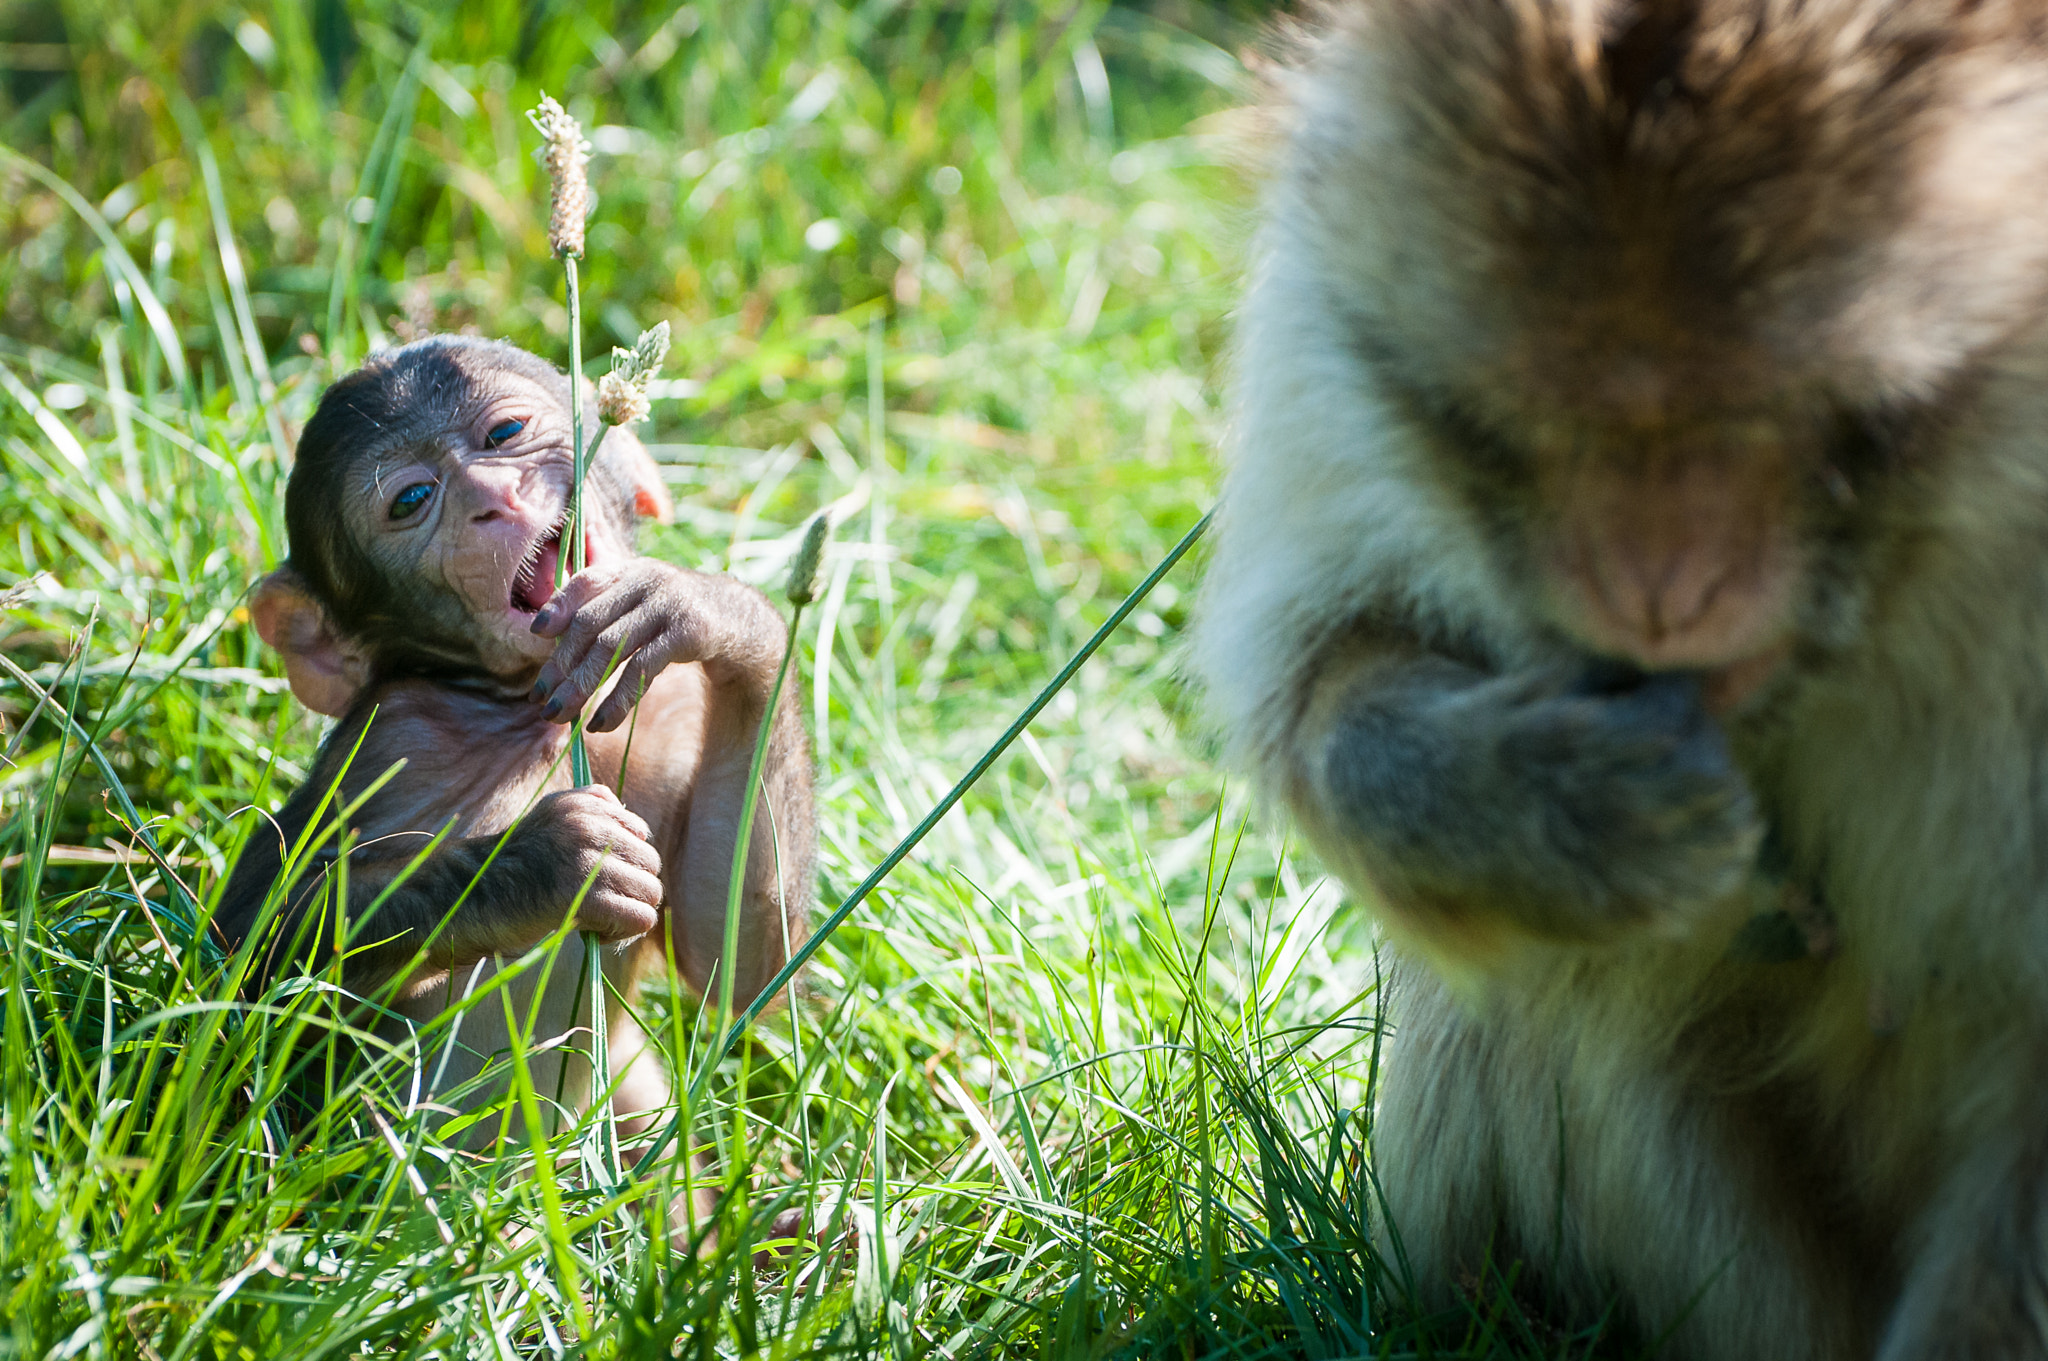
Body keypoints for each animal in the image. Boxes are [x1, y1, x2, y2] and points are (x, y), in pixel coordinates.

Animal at [217, 335, 814, 1199]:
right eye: (413, 499)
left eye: (504, 434)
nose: (491, 497)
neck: (532, 707)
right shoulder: (393, 737)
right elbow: (246, 948)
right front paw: (547, 862)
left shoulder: (662, 715)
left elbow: (738, 959)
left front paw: (708, 607)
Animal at [1190, 2, 2048, 1358]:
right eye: (1512, 426)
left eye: (1813, 421)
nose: (1654, 589)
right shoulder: (1326, 330)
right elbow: (1318, 661)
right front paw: (1543, 801)